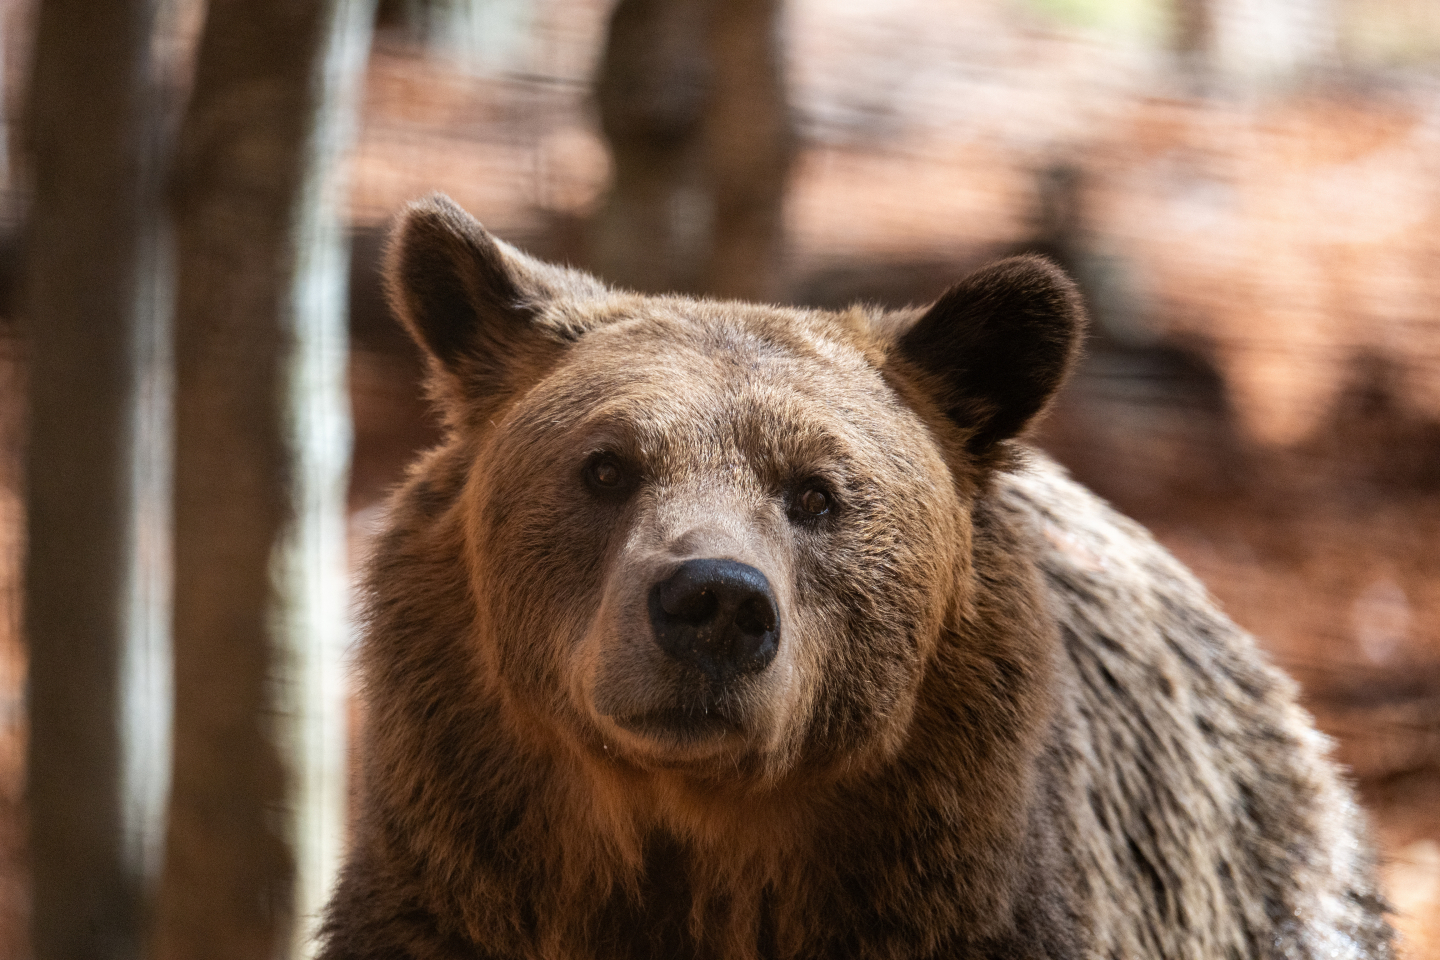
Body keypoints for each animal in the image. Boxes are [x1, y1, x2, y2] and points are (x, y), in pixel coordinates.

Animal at [320, 193, 1394, 960]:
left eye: (819, 492)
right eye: (606, 466)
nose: (715, 602)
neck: (694, 842)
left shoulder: (976, 914)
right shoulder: (445, 904)